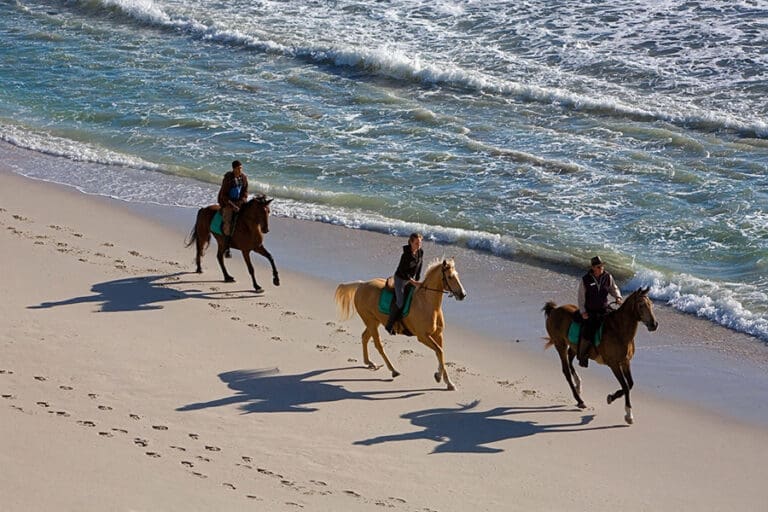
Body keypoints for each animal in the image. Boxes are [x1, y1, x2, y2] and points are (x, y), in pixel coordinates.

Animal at [334, 258, 467, 390]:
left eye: (457, 275)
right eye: (450, 277)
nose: (463, 294)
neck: (427, 303)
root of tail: (361, 285)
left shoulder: (438, 335)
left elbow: (441, 353)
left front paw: (448, 382)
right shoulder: (423, 336)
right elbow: (439, 351)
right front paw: (438, 376)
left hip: (374, 321)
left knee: (365, 337)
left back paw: (370, 363)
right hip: (370, 321)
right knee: (378, 345)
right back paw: (393, 370)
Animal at [542, 287, 658, 425]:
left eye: (651, 304)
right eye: (641, 305)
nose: (654, 324)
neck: (619, 331)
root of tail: (554, 310)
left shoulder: (625, 362)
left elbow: (630, 384)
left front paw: (612, 397)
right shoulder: (614, 364)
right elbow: (625, 386)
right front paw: (628, 414)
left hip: (574, 346)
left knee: (571, 361)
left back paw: (578, 384)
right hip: (560, 345)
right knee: (566, 371)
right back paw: (579, 400)